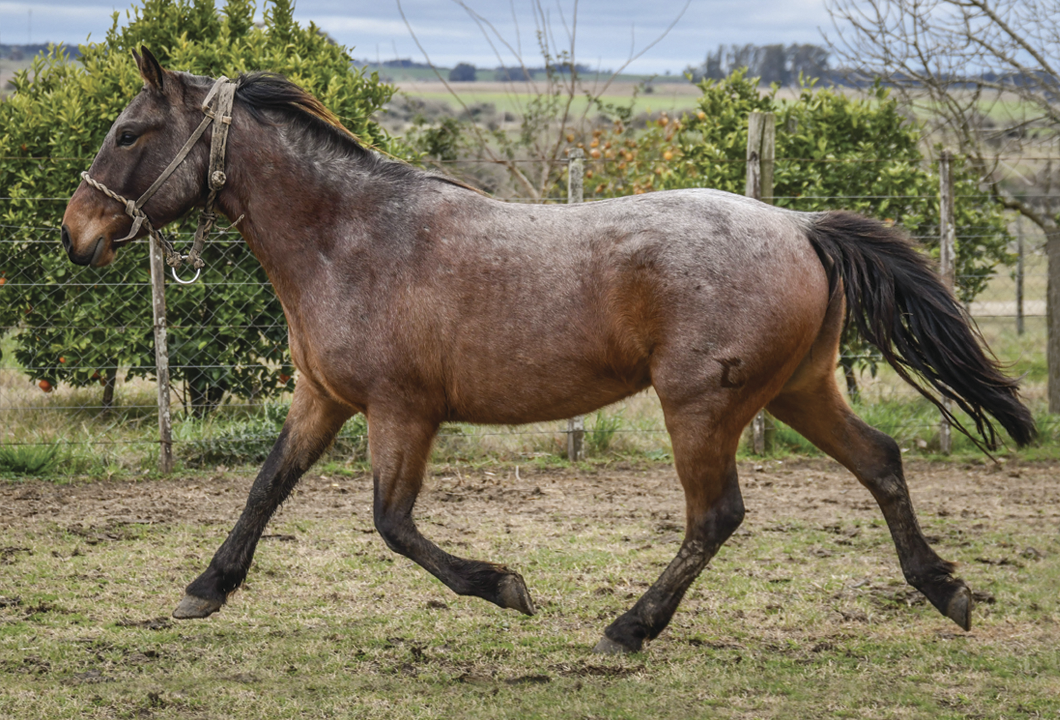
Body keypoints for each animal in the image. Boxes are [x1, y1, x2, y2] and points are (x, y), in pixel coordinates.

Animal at [60, 47, 1034, 657]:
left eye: (130, 133)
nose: (76, 234)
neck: (351, 237)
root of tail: (800, 226)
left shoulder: (401, 411)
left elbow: (393, 524)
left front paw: (504, 587)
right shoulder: (324, 399)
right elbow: (267, 486)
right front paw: (204, 588)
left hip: (703, 406)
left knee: (715, 517)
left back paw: (627, 631)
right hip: (798, 390)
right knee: (882, 462)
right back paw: (945, 590)